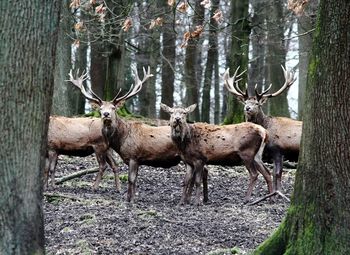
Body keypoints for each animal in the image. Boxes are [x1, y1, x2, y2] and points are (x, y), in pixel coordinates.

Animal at [68, 67, 209, 203]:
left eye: (113, 108)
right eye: (101, 108)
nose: (106, 114)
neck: (121, 140)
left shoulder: (133, 156)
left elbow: (131, 179)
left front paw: (129, 200)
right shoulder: (137, 159)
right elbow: (135, 180)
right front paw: (132, 198)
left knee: (202, 171)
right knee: (203, 171)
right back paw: (199, 199)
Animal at [224, 64, 300, 202]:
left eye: (257, 103)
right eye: (245, 102)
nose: (247, 108)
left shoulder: (278, 150)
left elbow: (277, 173)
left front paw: (277, 195)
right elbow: (274, 173)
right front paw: (274, 194)